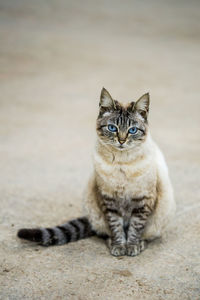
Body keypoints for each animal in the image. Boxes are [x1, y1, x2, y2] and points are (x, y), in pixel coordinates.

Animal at [17, 88, 177, 256]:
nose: (121, 141)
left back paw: (140, 243)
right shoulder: (109, 200)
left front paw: (131, 246)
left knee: (146, 234)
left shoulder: (143, 201)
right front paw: (119, 246)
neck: (121, 164)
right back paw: (112, 241)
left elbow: (135, 228)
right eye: (112, 128)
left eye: (132, 130)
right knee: (104, 231)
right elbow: (116, 227)